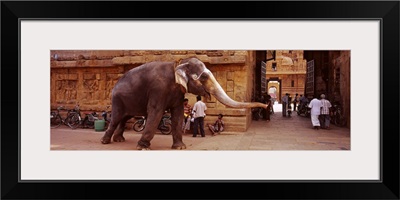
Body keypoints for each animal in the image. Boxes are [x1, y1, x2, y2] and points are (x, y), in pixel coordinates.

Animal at [101, 57, 268, 149]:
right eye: (203, 77)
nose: (267, 105)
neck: (178, 63)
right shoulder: (158, 89)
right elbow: (156, 112)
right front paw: (142, 148)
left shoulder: (177, 93)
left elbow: (178, 114)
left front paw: (180, 147)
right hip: (117, 99)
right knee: (116, 118)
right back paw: (105, 142)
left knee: (124, 118)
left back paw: (119, 139)